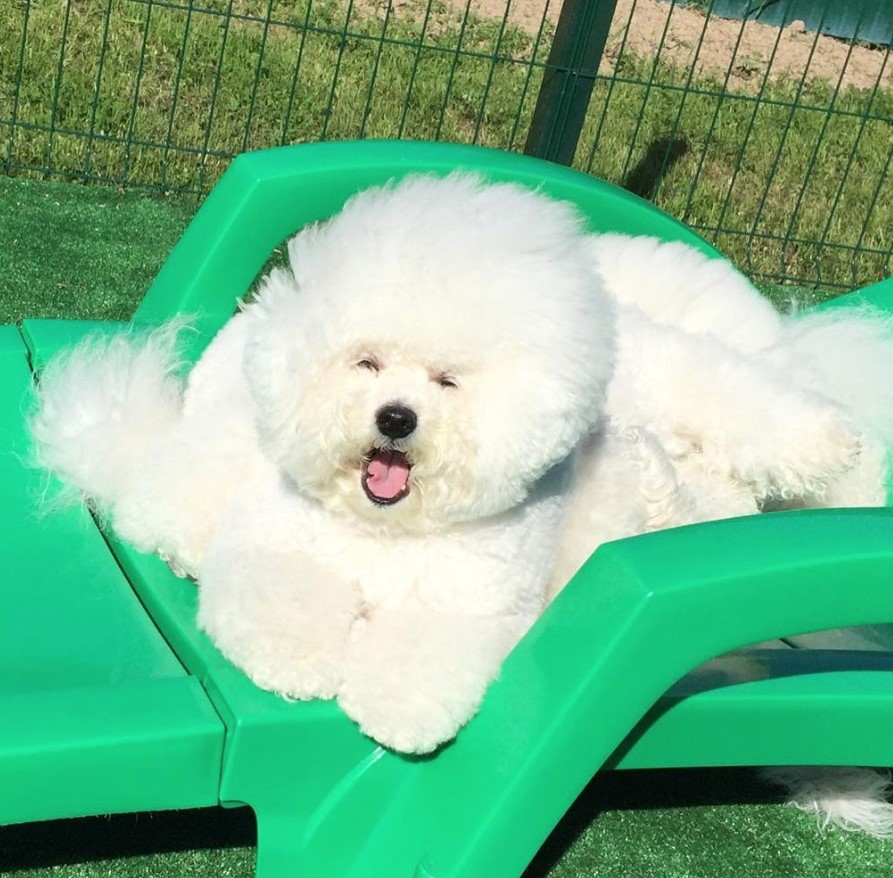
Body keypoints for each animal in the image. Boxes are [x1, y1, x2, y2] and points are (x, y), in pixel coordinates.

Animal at [27, 177, 892, 824]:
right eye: (368, 363)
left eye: (448, 380)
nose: (394, 419)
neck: (388, 531)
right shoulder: (278, 549)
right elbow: (282, 605)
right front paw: (300, 664)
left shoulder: (467, 603)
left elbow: (423, 660)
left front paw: (395, 710)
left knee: (745, 404)